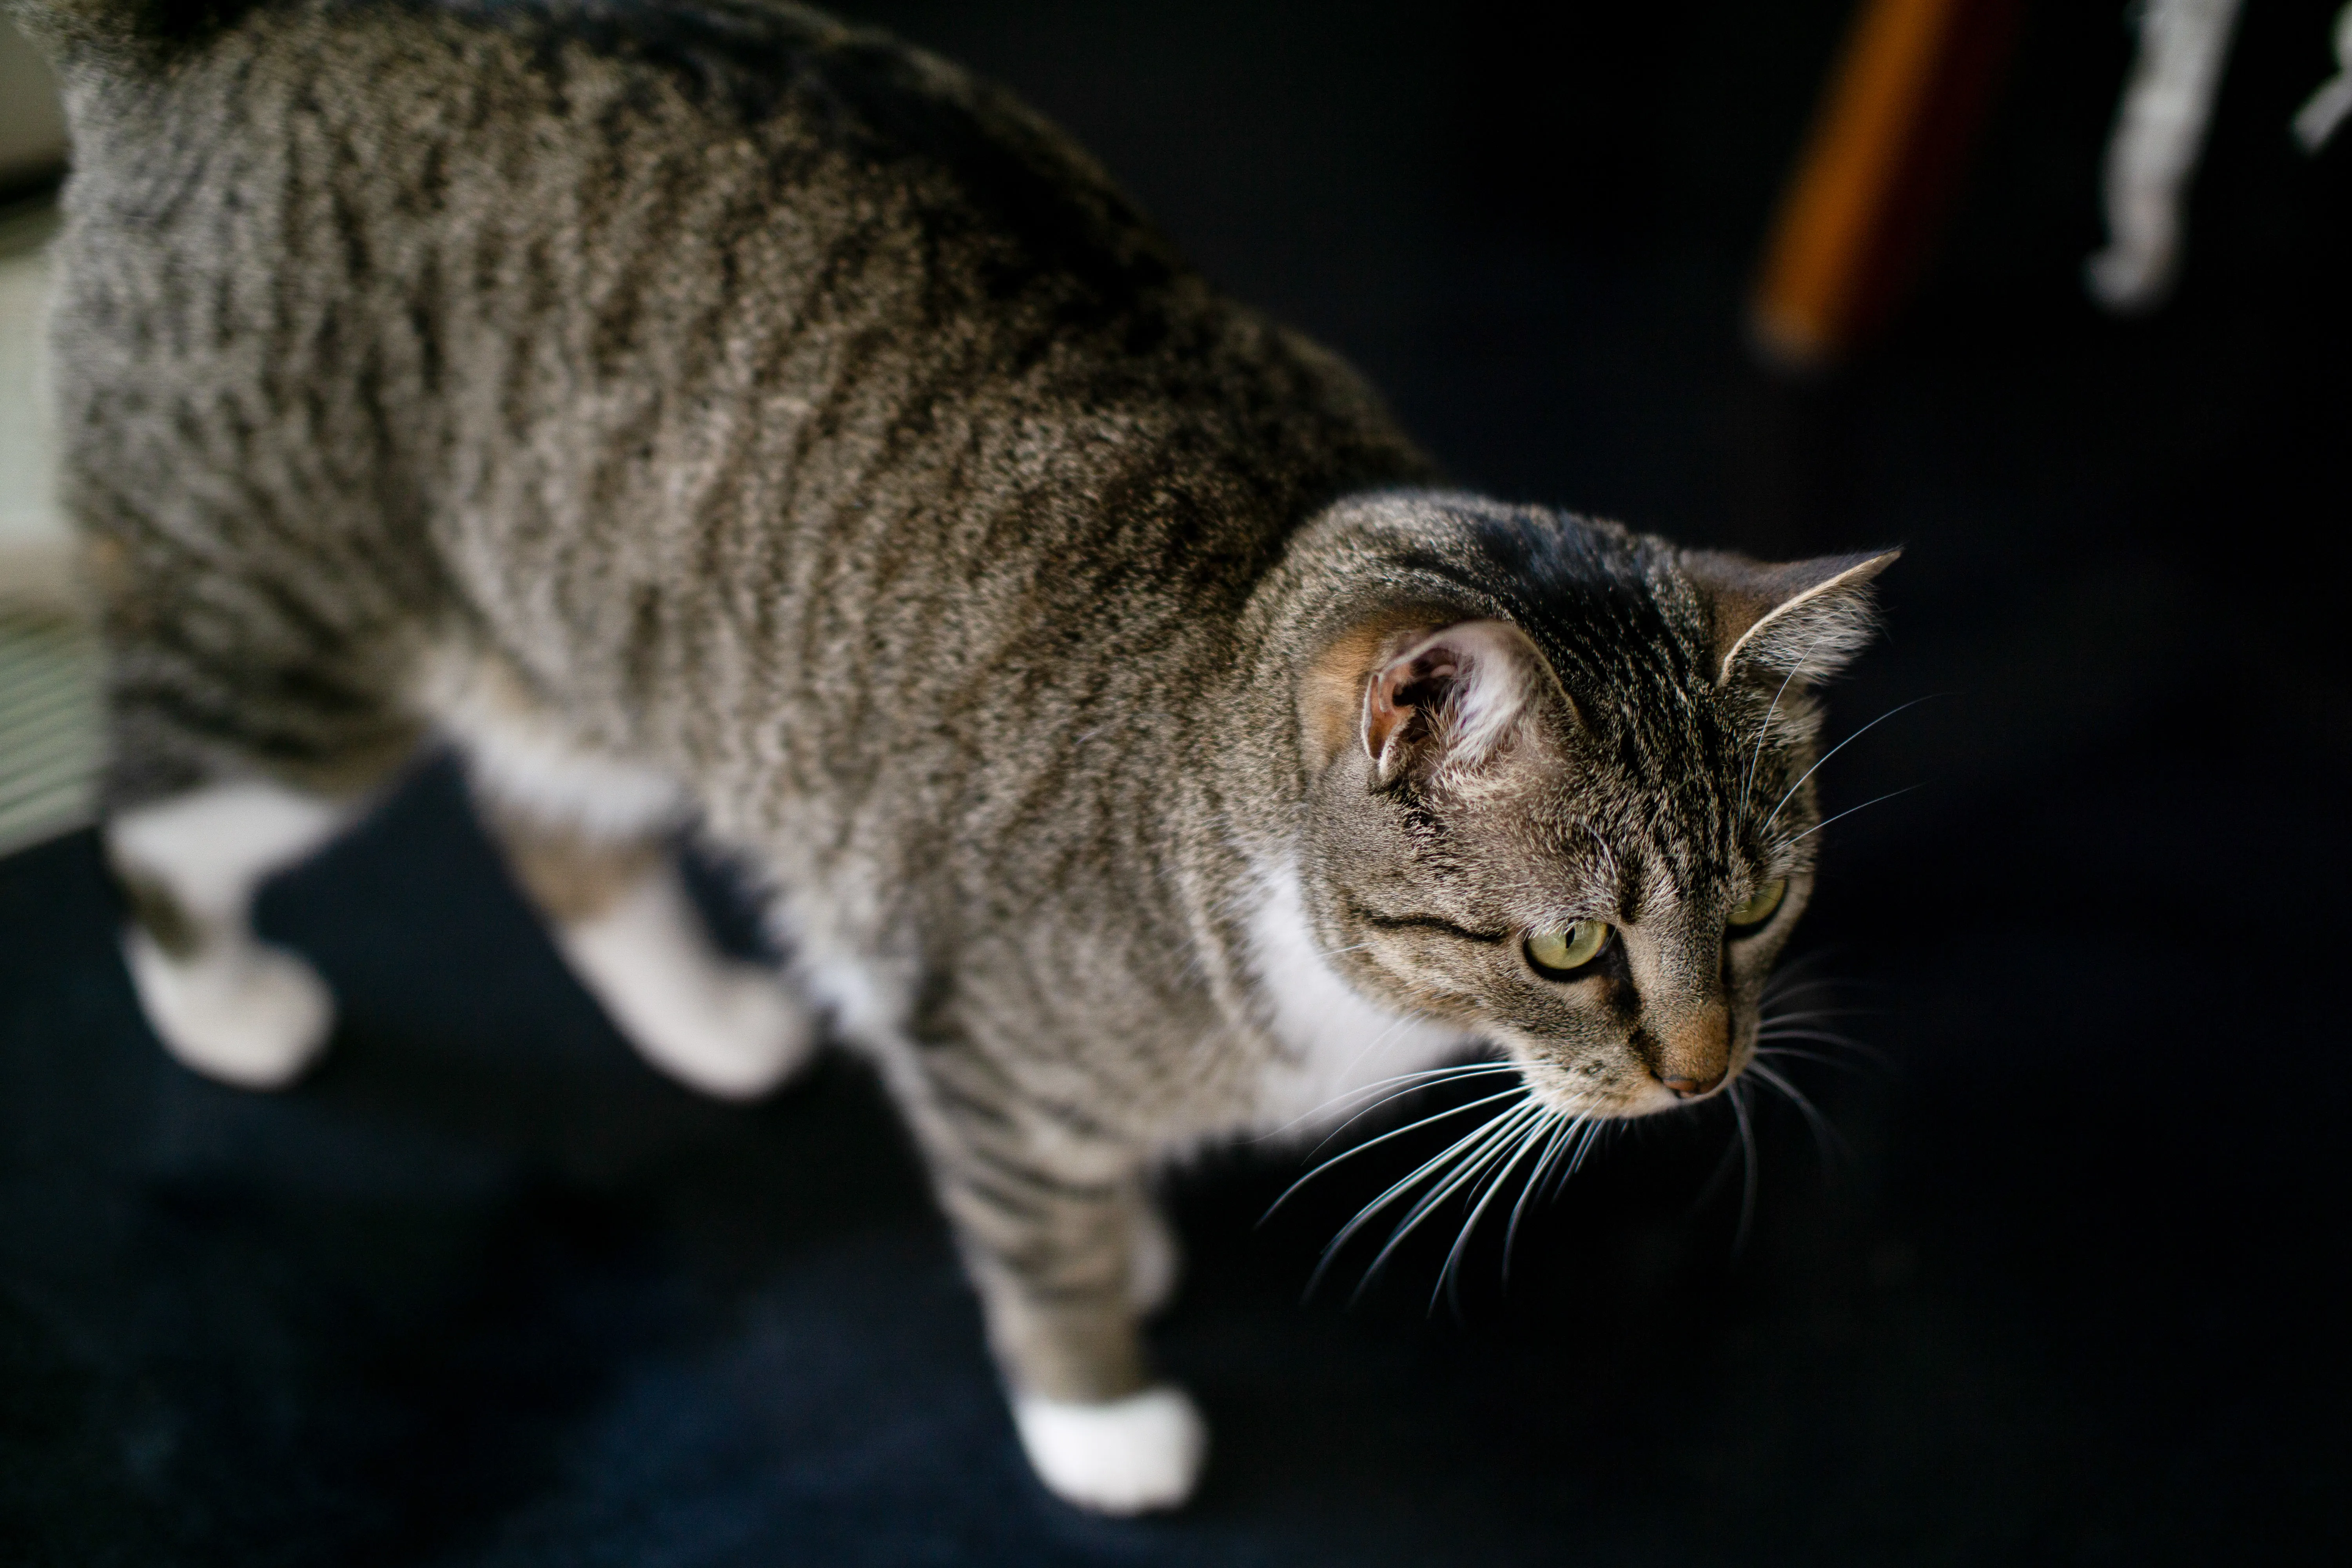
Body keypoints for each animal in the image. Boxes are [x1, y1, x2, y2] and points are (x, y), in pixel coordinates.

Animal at [4, 0, 1891, 1514]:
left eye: (1760, 906)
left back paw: (715, 1024)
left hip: (603, 655)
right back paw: (229, 1006)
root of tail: (212, 32)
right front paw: (1100, 1408)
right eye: (1568, 945)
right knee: (156, 820)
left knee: (553, 828)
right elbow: (1040, 1238)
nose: (1704, 1073)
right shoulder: (976, 1017)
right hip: (295, 652)